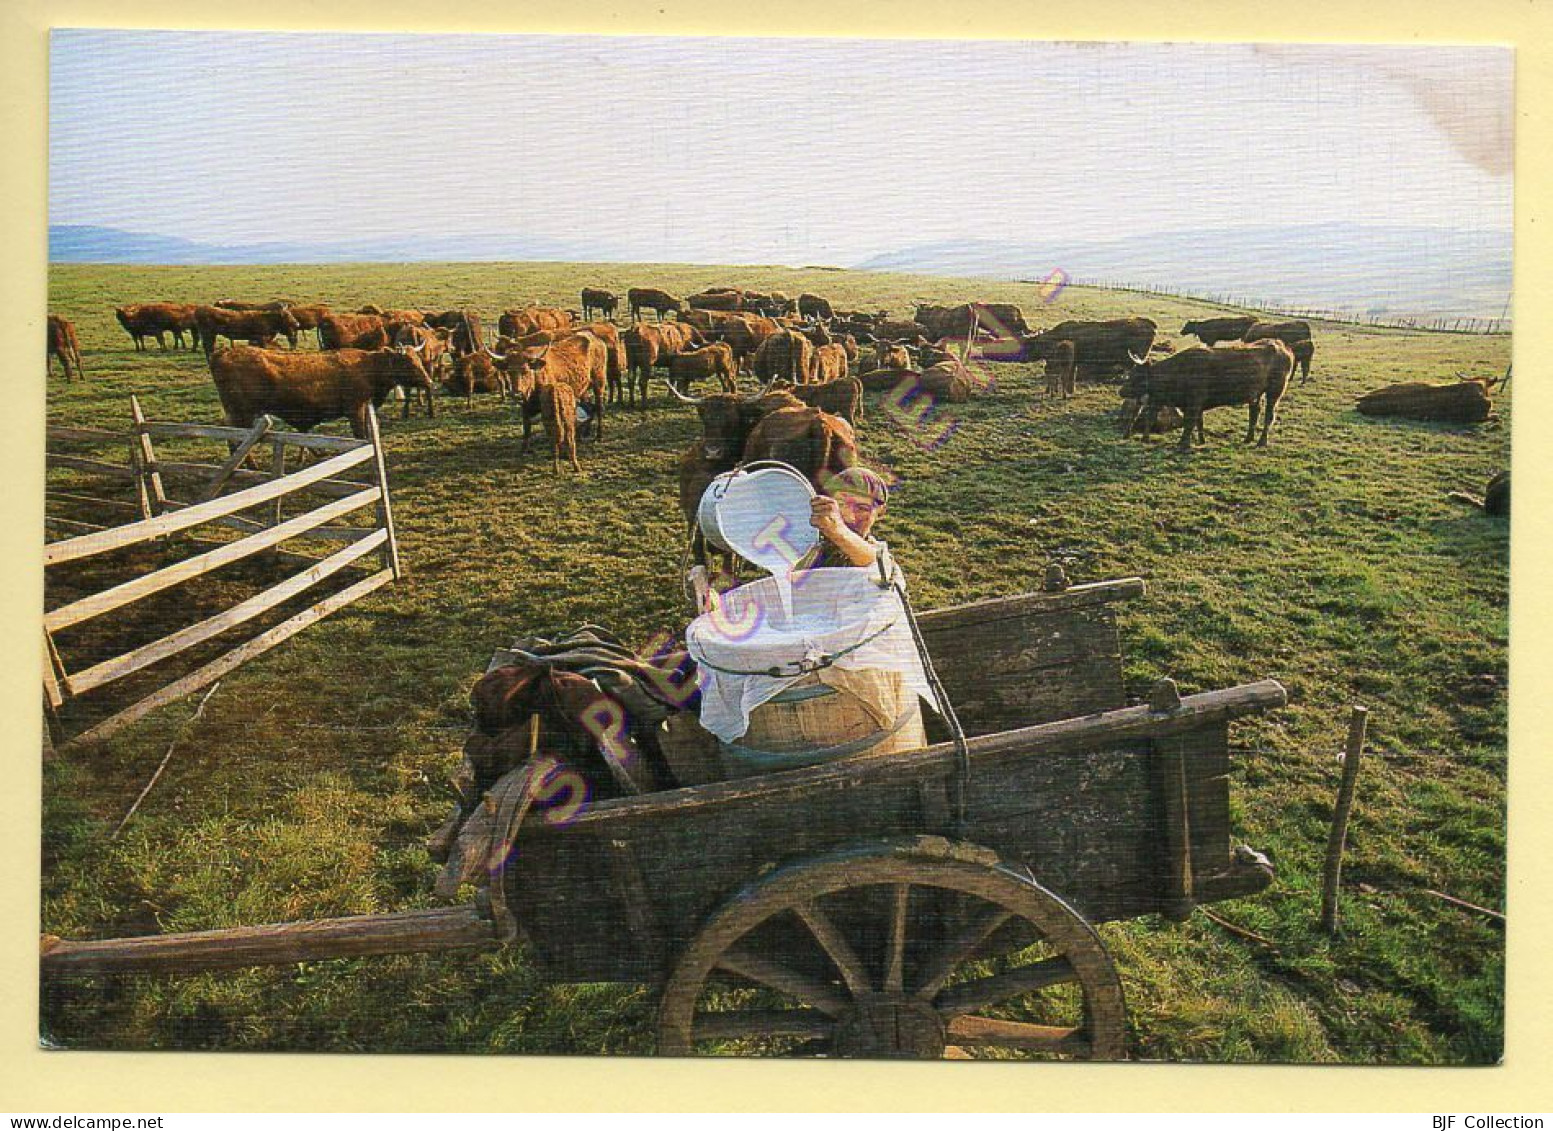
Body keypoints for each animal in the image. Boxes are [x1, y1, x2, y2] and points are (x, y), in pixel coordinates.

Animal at [206, 344, 434, 438]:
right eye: (408, 363)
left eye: (418, 359)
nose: (430, 382)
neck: (367, 366)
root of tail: (222, 353)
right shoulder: (355, 409)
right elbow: (360, 435)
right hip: (241, 415)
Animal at [1118, 338, 1298, 447]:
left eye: (1137, 376)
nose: (1121, 391)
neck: (1180, 370)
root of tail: (1281, 345)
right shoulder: (1194, 404)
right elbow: (1198, 422)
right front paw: (1200, 441)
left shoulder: (1194, 402)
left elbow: (1190, 422)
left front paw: (1183, 444)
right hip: (1256, 394)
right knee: (1254, 413)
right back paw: (1248, 438)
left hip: (1275, 391)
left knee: (1269, 415)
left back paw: (1261, 442)